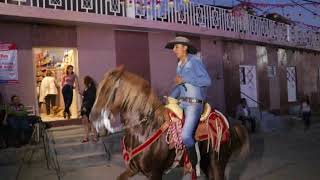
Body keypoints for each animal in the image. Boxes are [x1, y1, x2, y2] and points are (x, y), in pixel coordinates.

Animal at [90, 66, 250, 180]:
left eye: (107, 90)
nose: (92, 116)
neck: (144, 130)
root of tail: (229, 124)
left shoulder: (155, 173)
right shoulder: (133, 169)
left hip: (217, 164)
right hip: (207, 164)